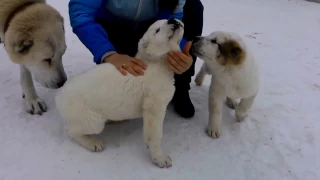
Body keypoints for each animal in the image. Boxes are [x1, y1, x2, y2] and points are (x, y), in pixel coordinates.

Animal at [56, 18, 184, 167]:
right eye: (157, 30)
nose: (172, 19)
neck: (157, 63)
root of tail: (59, 96)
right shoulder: (154, 104)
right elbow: (154, 134)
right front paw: (160, 158)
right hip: (90, 119)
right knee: (70, 130)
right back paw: (93, 143)